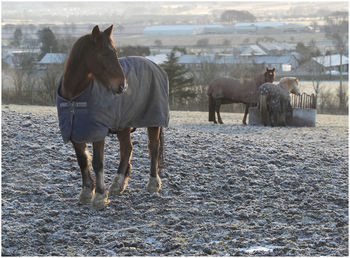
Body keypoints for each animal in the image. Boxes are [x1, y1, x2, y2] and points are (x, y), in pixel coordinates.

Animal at [56, 24, 169, 210]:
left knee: (153, 147)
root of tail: (155, 66)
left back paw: (153, 183)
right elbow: (82, 160)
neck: (75, 97)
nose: (122, 85)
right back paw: (118, 184)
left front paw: (100, 196)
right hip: (123, 124)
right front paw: (86, 192)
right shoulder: (75, 132)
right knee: (127, 149)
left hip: (153, 120)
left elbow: (97, 163)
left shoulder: (97, 133)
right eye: (103, 54)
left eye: (115, 53)